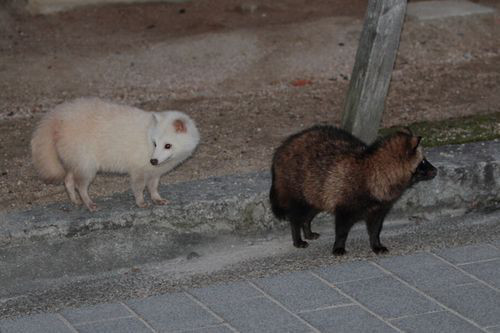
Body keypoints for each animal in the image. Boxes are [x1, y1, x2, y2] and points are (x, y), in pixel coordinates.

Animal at [30, 96, 199, 210]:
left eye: (168, 145)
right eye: (155, 143)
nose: (153, 160)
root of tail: (58, 116)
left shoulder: (155, 170)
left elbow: (153, 184)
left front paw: (156, 197)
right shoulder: (138, 166)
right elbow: (138, 185)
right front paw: (140, 200)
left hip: (75, 156)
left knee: (69, 179)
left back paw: (74, 198)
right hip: (85, 158)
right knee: (80, 183)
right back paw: (87, 200)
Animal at [270, 124, 438, 254]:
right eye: (423, 162)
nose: (436, 170)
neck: (377, 168)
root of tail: (282, 149)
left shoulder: (378, 206)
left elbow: (376, 228)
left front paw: (376, 244)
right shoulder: (345, 202)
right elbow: (342, 229)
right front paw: (338, 246)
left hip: (316, 190)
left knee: (310, 212)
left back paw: (307, 229)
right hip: (297, 189)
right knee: (296, 215)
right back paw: (297, 235)